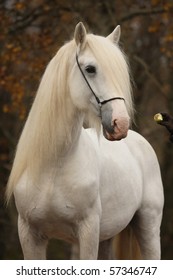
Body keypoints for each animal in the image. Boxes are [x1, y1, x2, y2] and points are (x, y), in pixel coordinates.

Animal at [6, 22, 164, 260]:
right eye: (90, 69)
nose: (121, 123)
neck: (53, 167)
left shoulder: (88, 232)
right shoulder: (29, 233)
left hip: (149, 225)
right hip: (107, 236)